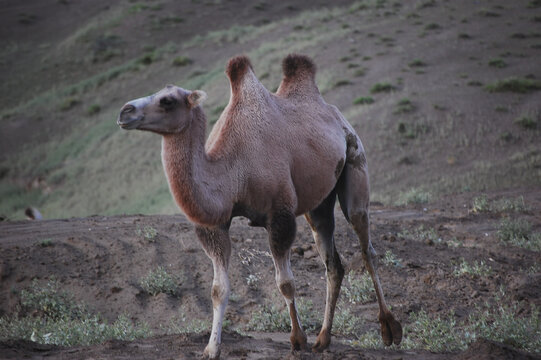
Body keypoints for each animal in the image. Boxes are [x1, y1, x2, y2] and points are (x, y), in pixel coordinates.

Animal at [117, 54, 400, 360]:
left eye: (167, 100)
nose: (125, 111)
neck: (235, 170)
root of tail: (338, 117)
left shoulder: (280, 214)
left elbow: (285, 282)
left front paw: (297, 340)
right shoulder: (216, 224)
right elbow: (218, 288)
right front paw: (211, 348)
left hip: (355, 159)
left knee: (366, 245)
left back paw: (390, 329)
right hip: (319, 204)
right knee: (333, 261)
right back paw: (323, 339)